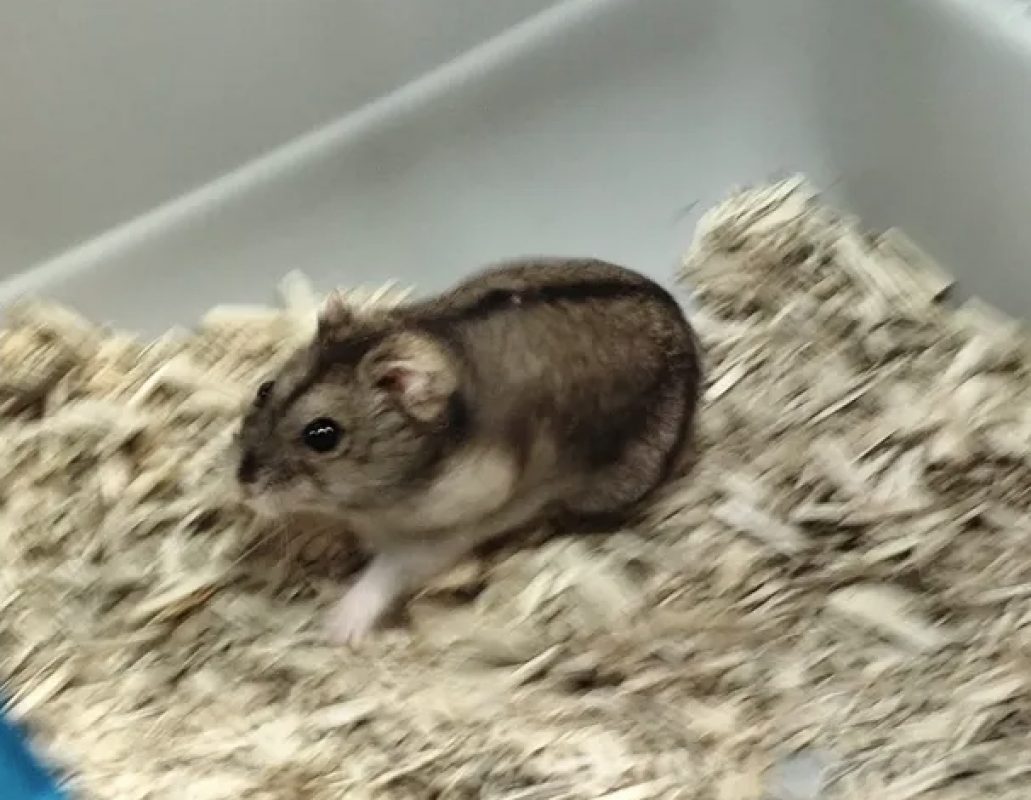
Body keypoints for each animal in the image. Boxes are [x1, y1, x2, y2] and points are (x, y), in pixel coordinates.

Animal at [234, 258, 702, 643]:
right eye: (264, 388)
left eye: (323, 435)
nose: (242, 487)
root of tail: (679, 317)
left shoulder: (444, 535)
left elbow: (387, 569)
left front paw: (336, 629)